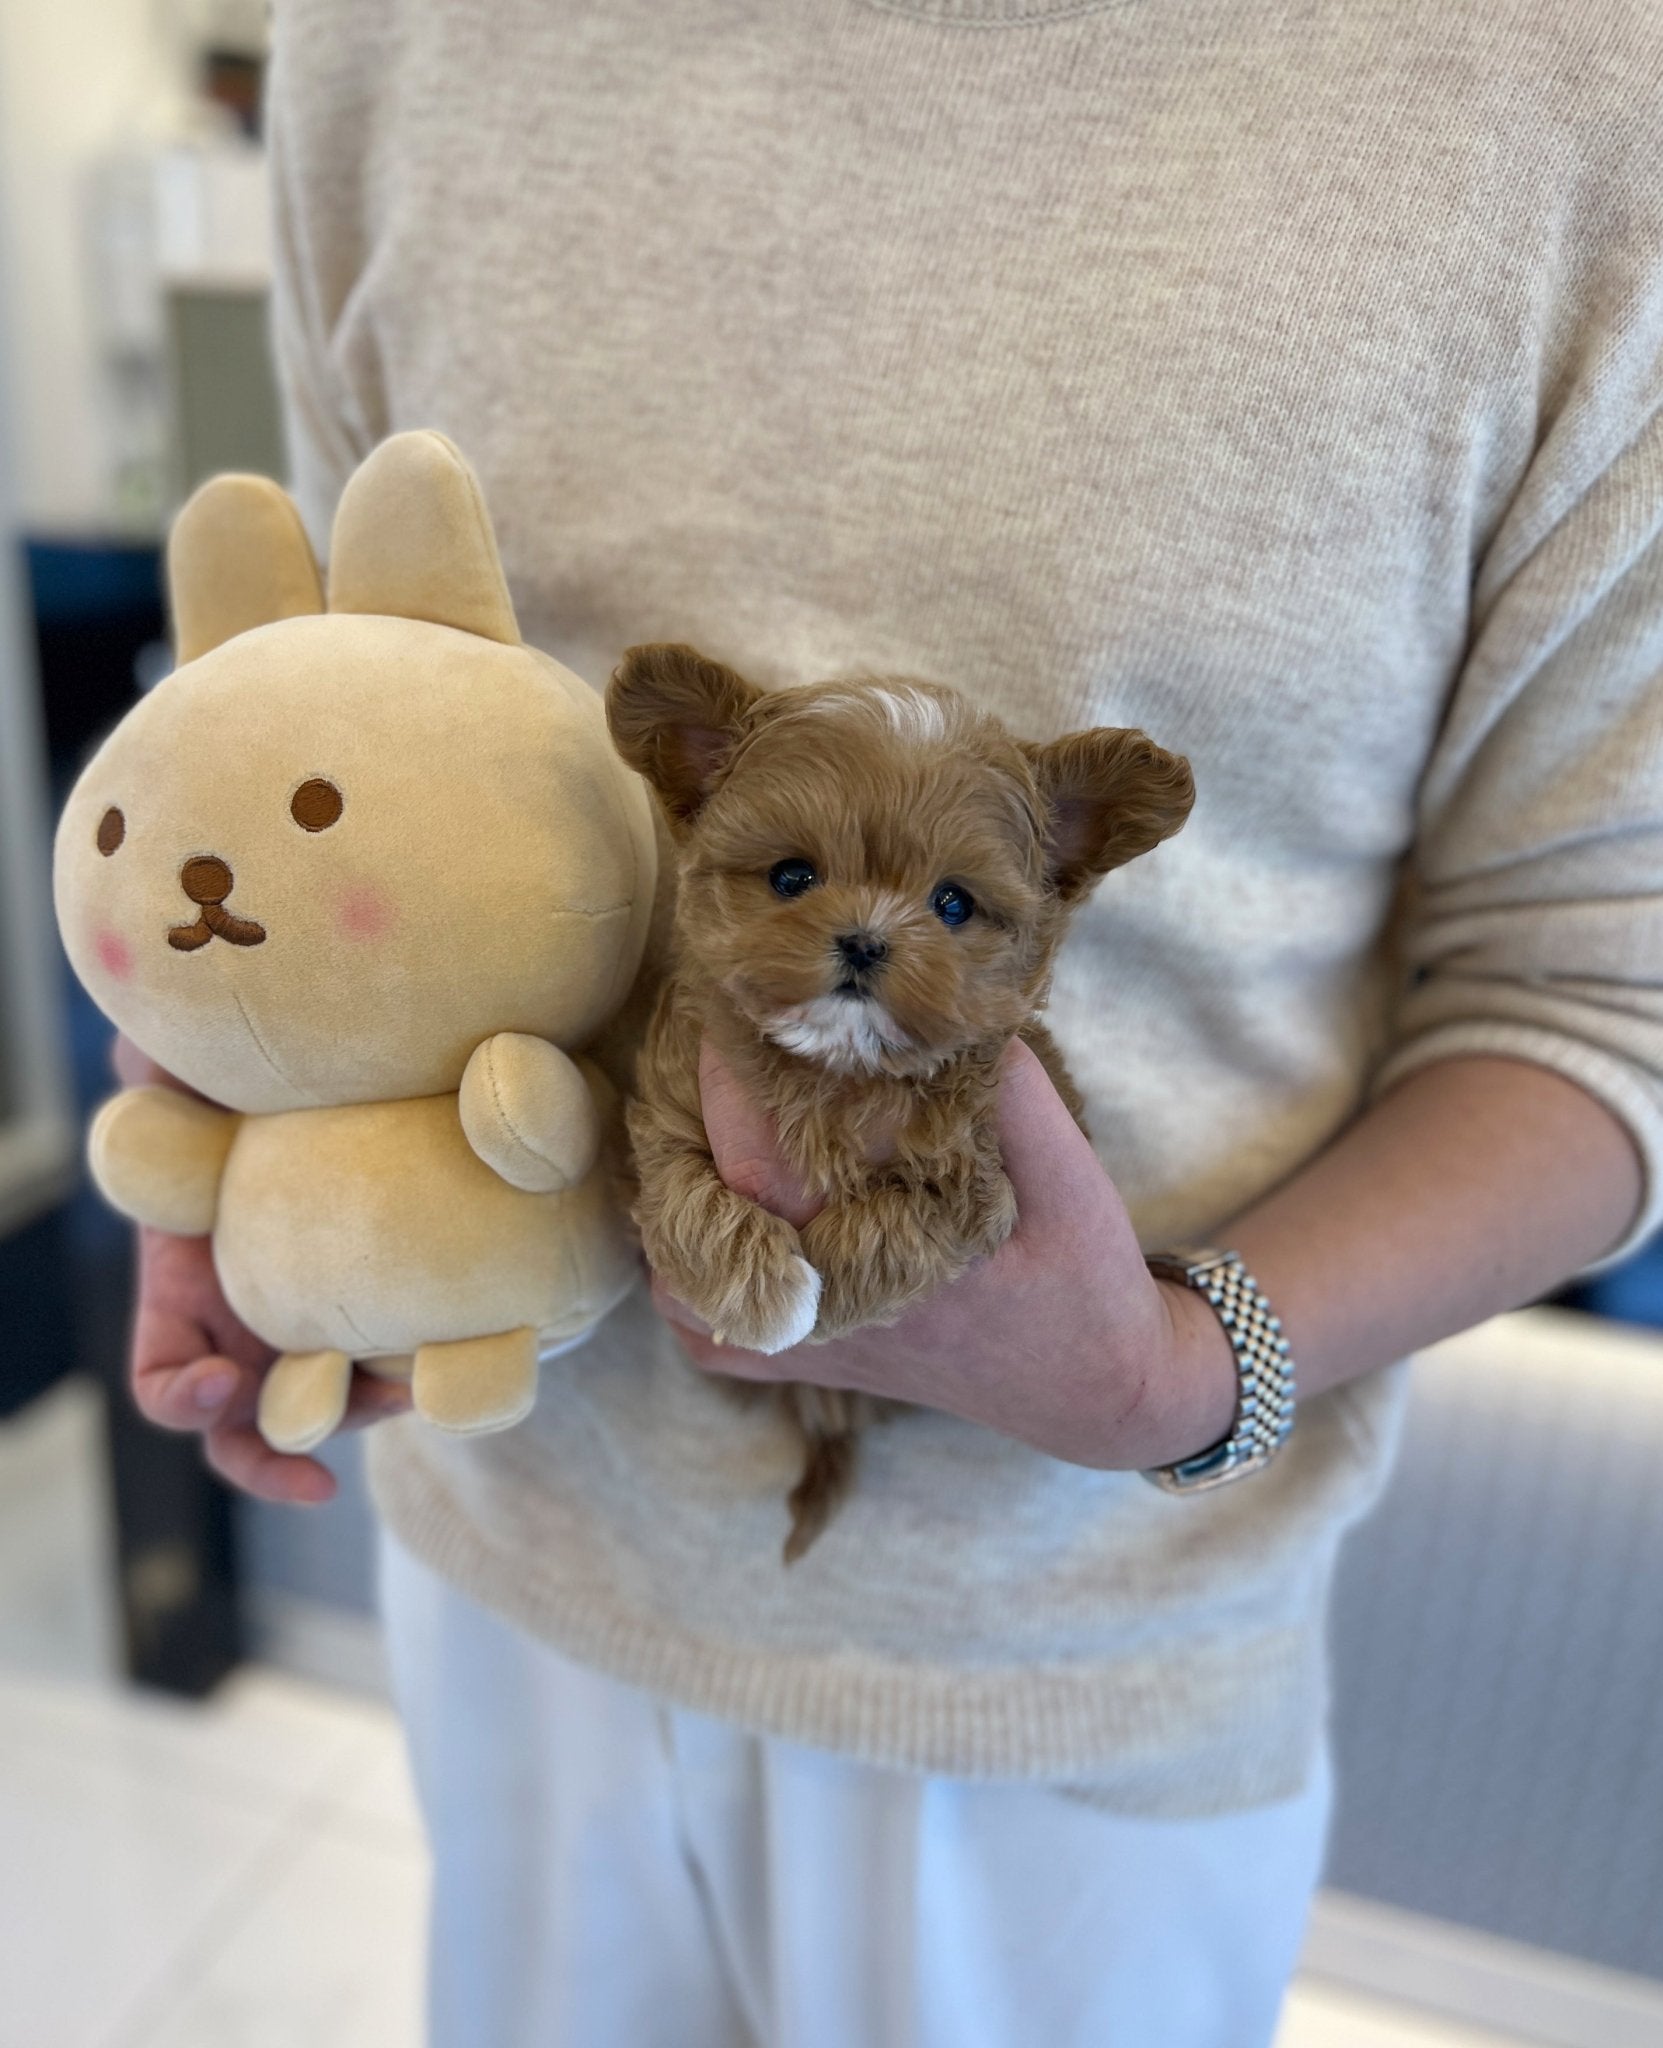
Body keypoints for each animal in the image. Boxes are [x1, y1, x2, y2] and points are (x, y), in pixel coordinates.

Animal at [610, 647, 1196, 1556]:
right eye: (791, 876)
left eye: (952, 903)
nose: (863, 939)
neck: (836, 1071)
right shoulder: (668, 1111)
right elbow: (685, 1199)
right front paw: (764, 1295)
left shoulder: (979, 1183)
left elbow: (892, 1224)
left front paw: (820, 1304)